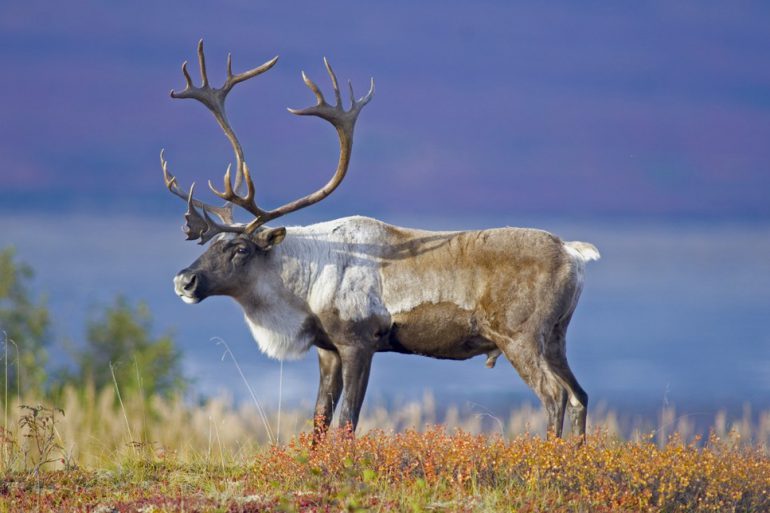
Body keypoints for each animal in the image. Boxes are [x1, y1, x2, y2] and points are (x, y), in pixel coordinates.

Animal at [162, 41, 600, 439]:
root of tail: (573, 254)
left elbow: (346, 422)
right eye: (209, 245)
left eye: (240, 249)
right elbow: (319, 420)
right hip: (556, 336)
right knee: (579, 395)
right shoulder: (328, 349)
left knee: (555, 395)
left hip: (520, 337)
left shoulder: (359, 342)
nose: (184, 280)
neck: (306, 284)